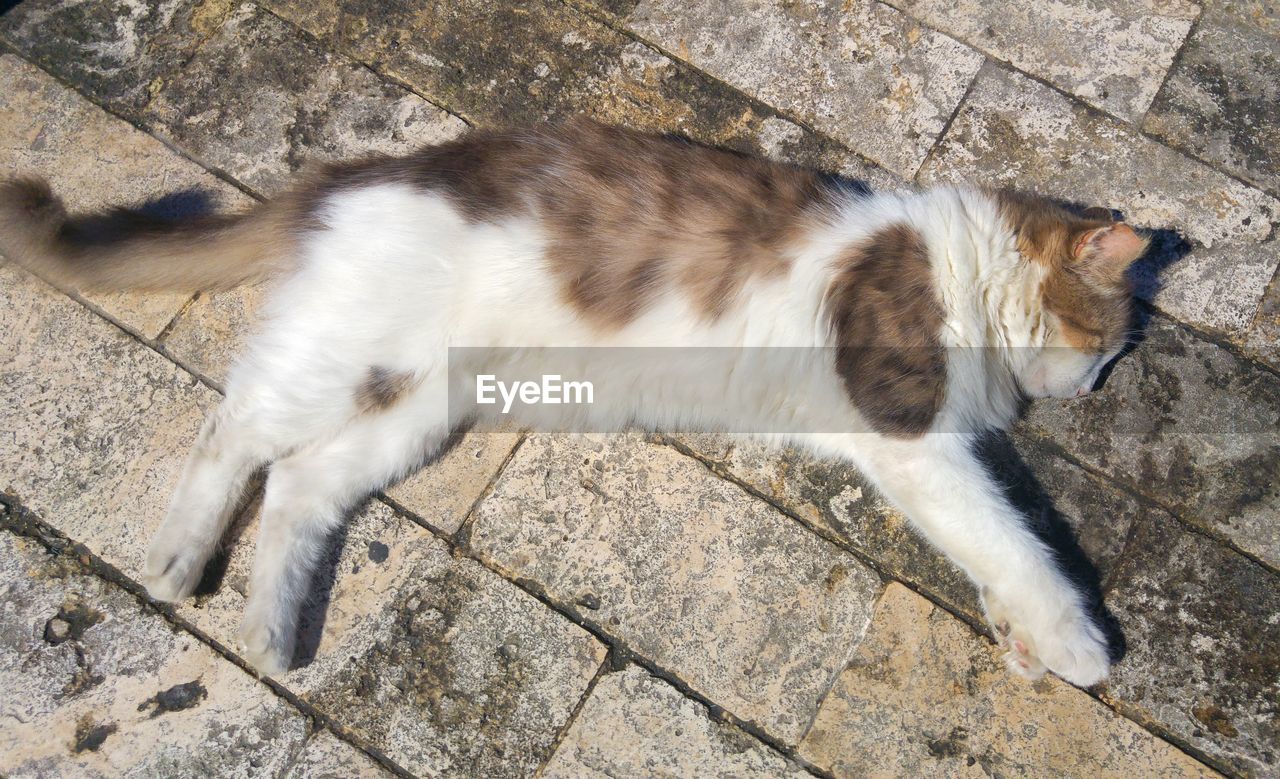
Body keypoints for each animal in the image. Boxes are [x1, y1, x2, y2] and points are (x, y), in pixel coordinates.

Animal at [0, 118, 1146, 685]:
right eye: (1101, 343)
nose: (1094, 387)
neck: (953, 266)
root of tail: (340, 179)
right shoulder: (909, 432)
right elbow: (1012, 536)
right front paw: (1074, 640)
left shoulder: (912, 444)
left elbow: (989, 545)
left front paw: (1020, 641)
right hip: (348, 357)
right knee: (232, 430)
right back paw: (180, 558)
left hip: (416, 407)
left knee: (299, 486)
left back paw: (274, 628)